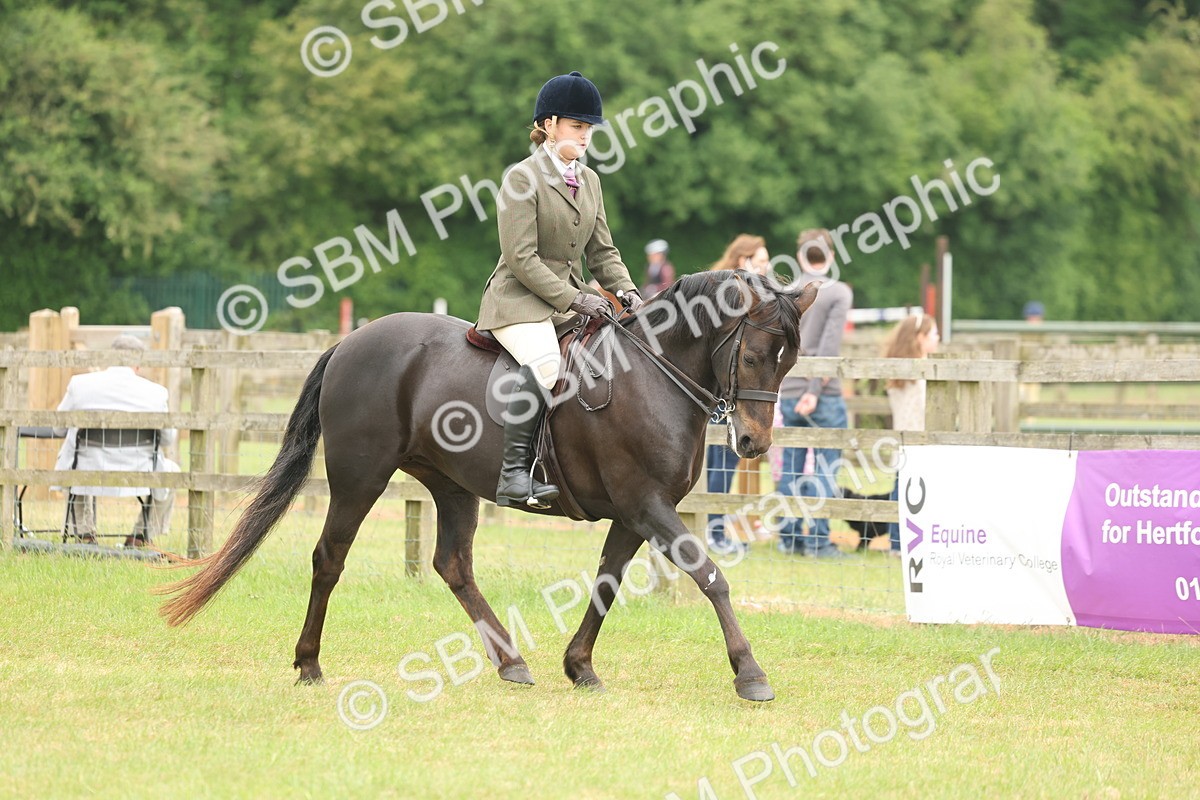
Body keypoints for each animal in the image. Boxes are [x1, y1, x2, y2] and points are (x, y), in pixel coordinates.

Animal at [160, 270, 818, 702]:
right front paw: (750, 673)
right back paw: (309, 664)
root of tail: (351, 340)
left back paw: (512, 662)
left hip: (451, 485)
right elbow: (711, 576)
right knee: (330, 558)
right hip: (359, 477)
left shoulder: (634, 512)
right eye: (754, 356)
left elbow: (606, 583)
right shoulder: (646, 505)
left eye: (789, 361)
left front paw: (579, 667)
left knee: (453, 565)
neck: (651, 375)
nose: (754, 444)